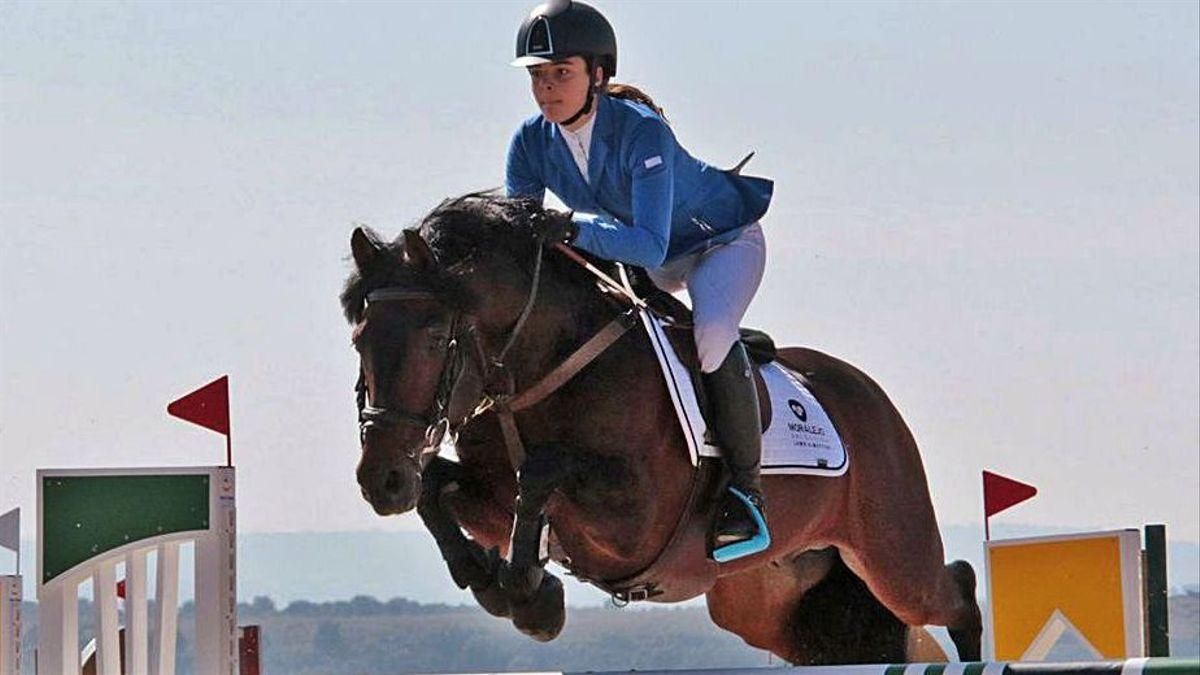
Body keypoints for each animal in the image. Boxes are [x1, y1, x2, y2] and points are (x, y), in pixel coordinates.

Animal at [343, 193, 979, 662]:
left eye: (434, 338)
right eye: (359, 339)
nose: (382, 481)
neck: (544, 370)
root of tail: (874, 399)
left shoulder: (636, 521)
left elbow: (544, 469)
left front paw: (529, 593)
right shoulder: (491, 496)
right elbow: (441, 489)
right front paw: (493, 579)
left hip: (895, 555)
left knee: (957, 589)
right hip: (763, 599)